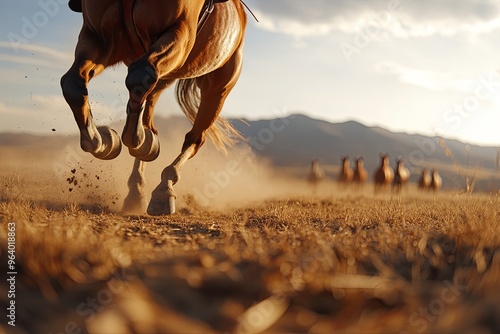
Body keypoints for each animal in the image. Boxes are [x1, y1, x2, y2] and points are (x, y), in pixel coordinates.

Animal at [61, 0, 248, 214]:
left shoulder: (179, 32)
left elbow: (138, 76)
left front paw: (139, 143)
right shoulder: (98, 37)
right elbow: (72, 84)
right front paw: (105, 142)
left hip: (218, 88)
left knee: (194, 139)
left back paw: (164, 188)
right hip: (163, 79)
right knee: (149, 114)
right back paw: (136, 190)